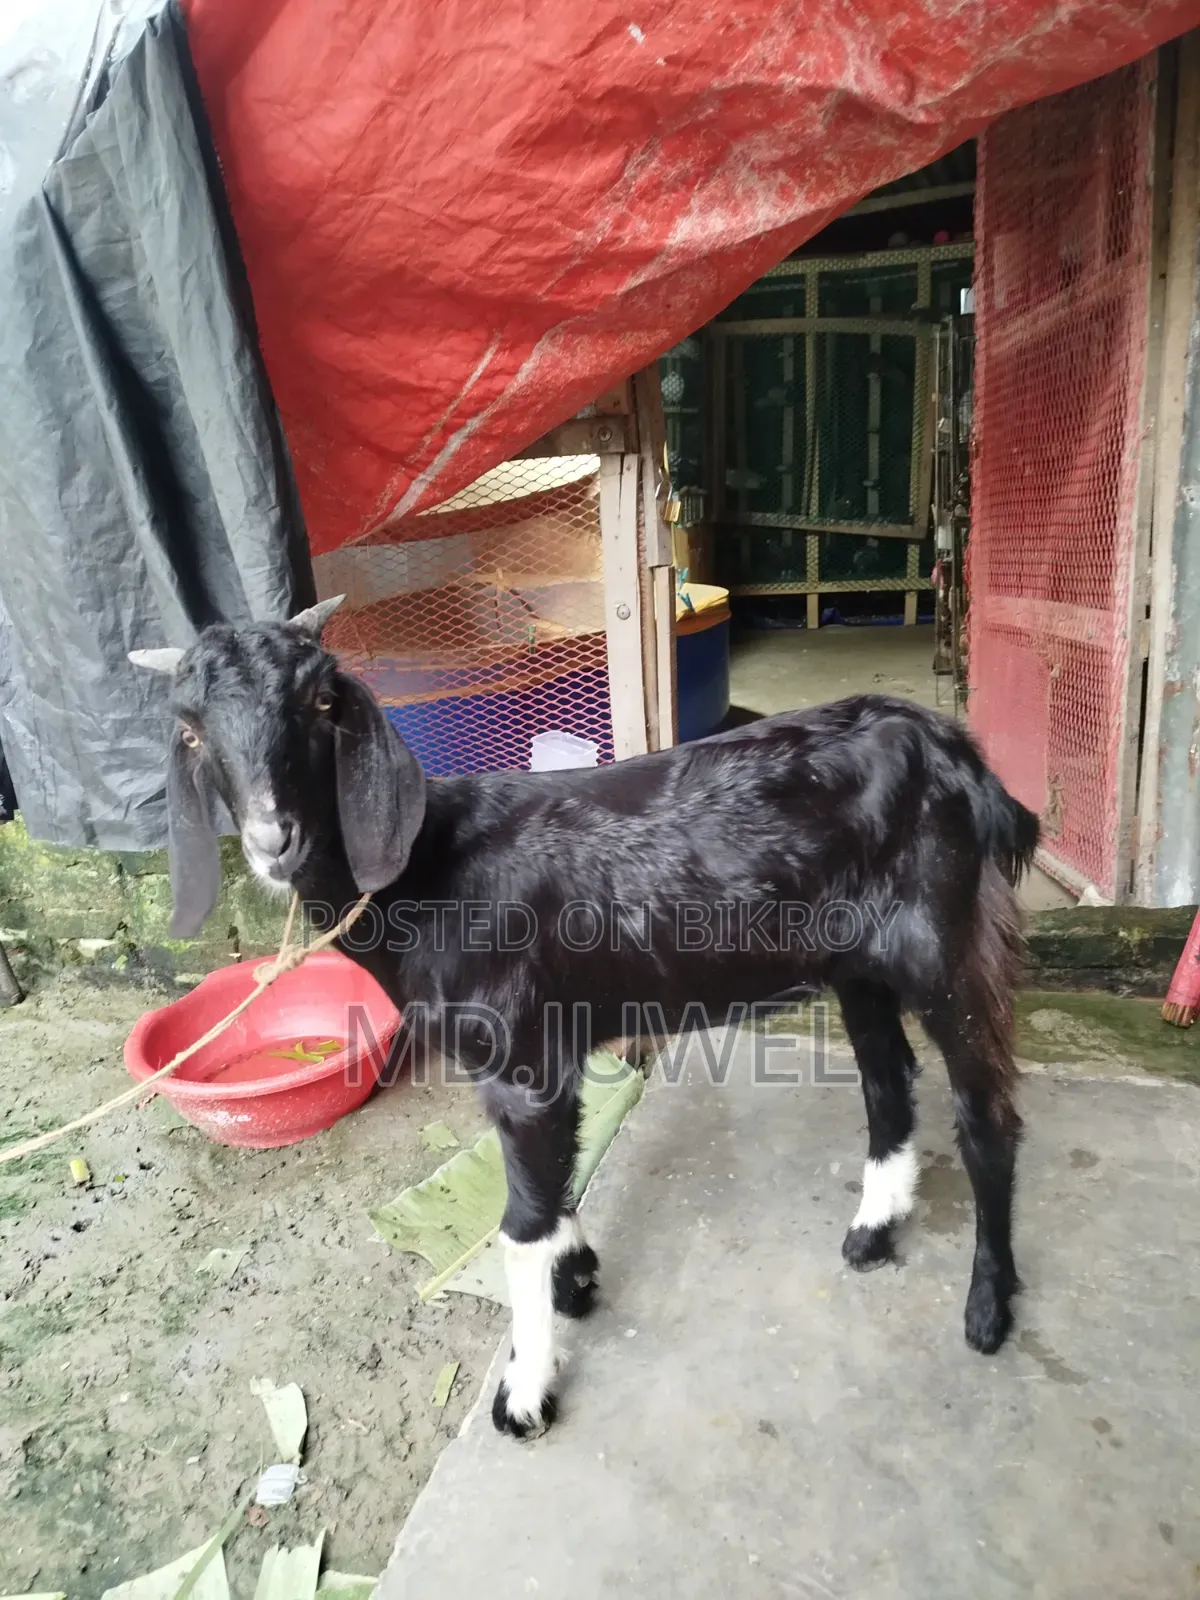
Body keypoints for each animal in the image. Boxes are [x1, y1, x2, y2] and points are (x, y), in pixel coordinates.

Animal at [131, 596, 1039, 1439]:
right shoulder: (552, 1057)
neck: (430, 876)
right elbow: (555, 1179)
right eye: (190, 730)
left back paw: (988, 1308)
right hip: (858, 965)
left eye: (322, 702)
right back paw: (874, 1230)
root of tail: (953, 749)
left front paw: (525, 1391)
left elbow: (518, 1225)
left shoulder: (521, 1063)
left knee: (986, 1112)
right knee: (890, 1078)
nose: (272, 839)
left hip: (947, 936)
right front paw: (575, 1277)